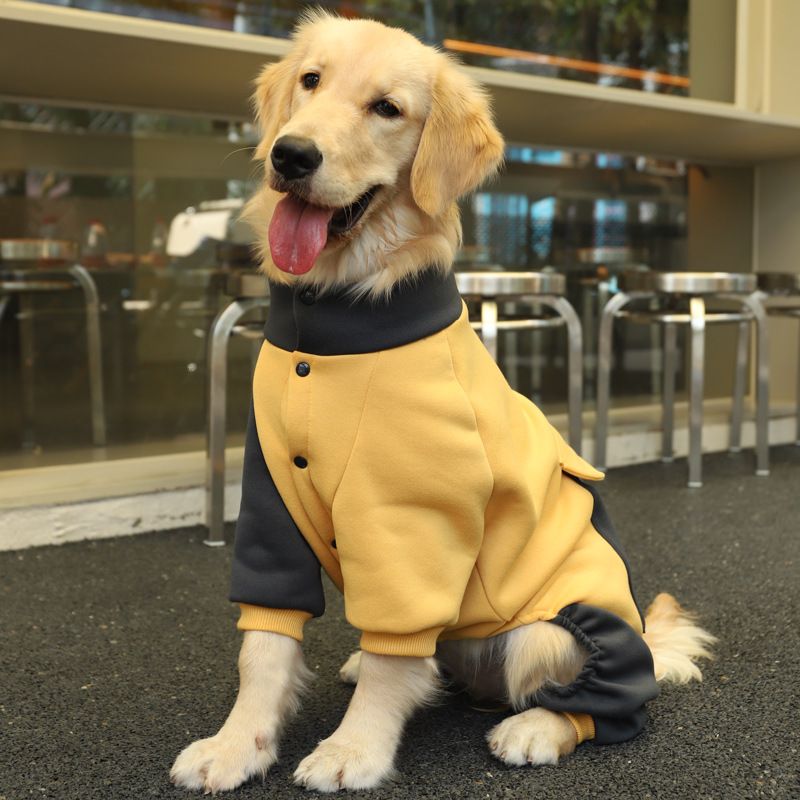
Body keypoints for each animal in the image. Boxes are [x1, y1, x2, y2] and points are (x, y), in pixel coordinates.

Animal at [169, 10, 712, 792]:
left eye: (387, 109)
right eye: (311, 81)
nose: (291, 154)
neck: (334, 322)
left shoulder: (409, 520)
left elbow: (395, 651)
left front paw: (354, 750)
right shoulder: (268, 499)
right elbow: (264, 646)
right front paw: (238, 743)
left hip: (556, 631)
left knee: (608, 707)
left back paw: (535, 727)